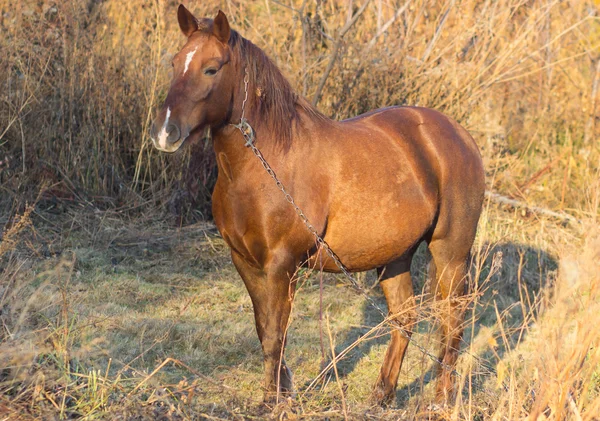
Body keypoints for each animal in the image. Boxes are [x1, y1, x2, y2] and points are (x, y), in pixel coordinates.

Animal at [151, 4, 488, 406]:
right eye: (174, 63)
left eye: (212, 68)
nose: (165, 133)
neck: (266, 164)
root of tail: (460, 135)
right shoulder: (244, 261)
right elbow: (264, 330)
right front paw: (282, 393)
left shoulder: (282, 264)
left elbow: (276, 333)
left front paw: (271, 401)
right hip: (395, 256)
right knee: (405, 318)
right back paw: (381, 396)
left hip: (451, 253)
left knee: (452, 321)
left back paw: (439, 399)